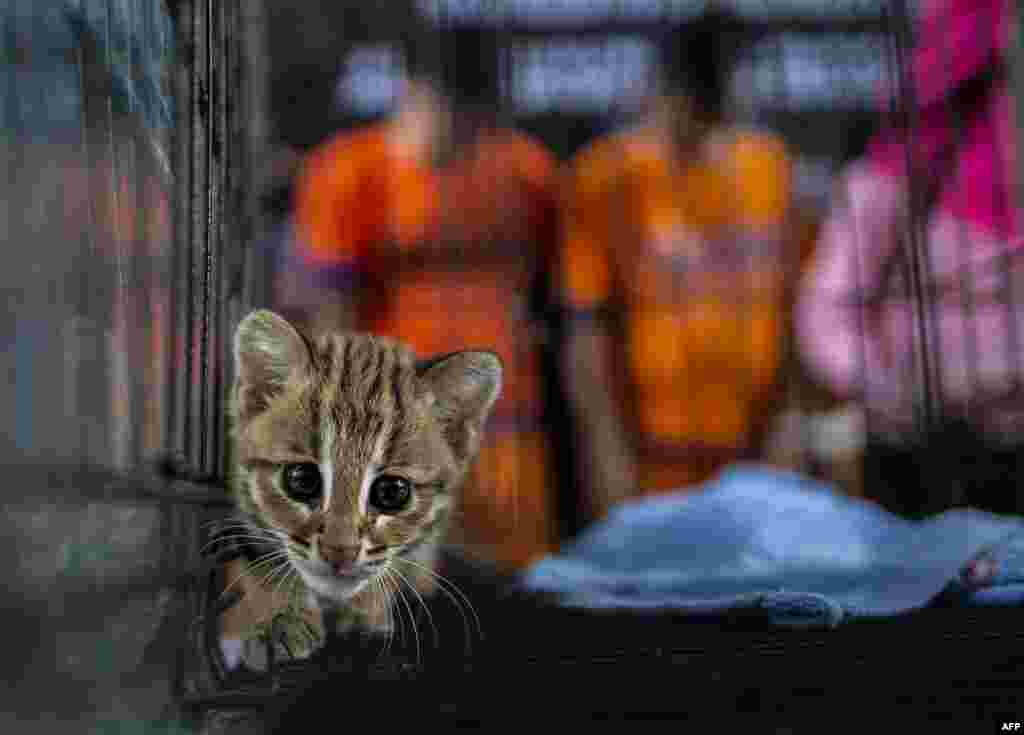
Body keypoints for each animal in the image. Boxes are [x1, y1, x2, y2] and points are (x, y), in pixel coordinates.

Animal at [222, 307, 501, 663]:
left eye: (392, 492)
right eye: (301, 479)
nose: (339, 553)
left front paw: (366, 612)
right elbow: (260, 558)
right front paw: (278, 619)